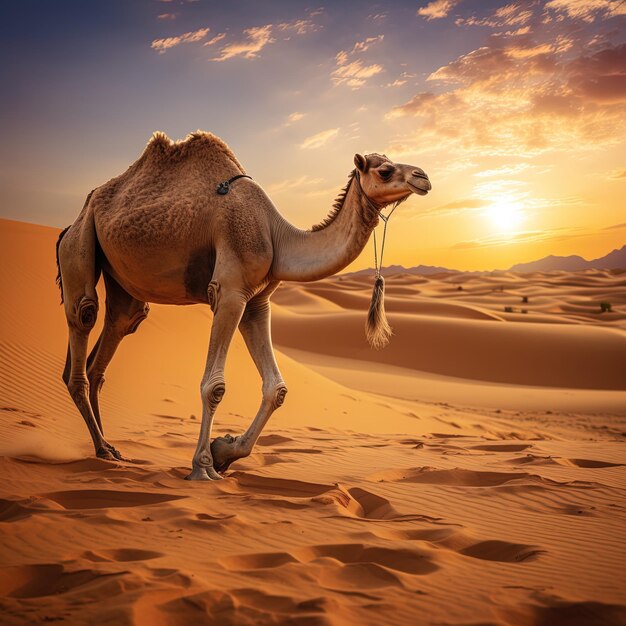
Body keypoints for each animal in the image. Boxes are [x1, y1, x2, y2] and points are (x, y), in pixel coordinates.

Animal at [56, 132, 428, 478]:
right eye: (384, 170)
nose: (423, 176)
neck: (277, 235)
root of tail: (70, 223)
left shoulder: (257, 301)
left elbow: (277, 388)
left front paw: (223, 451)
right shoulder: (230, 291)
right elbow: (215, 386)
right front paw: (203, 466)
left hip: (122, 280)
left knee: (117, 329)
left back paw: (108, 449)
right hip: (79, 244)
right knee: (84, 317)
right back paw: (103, 446)